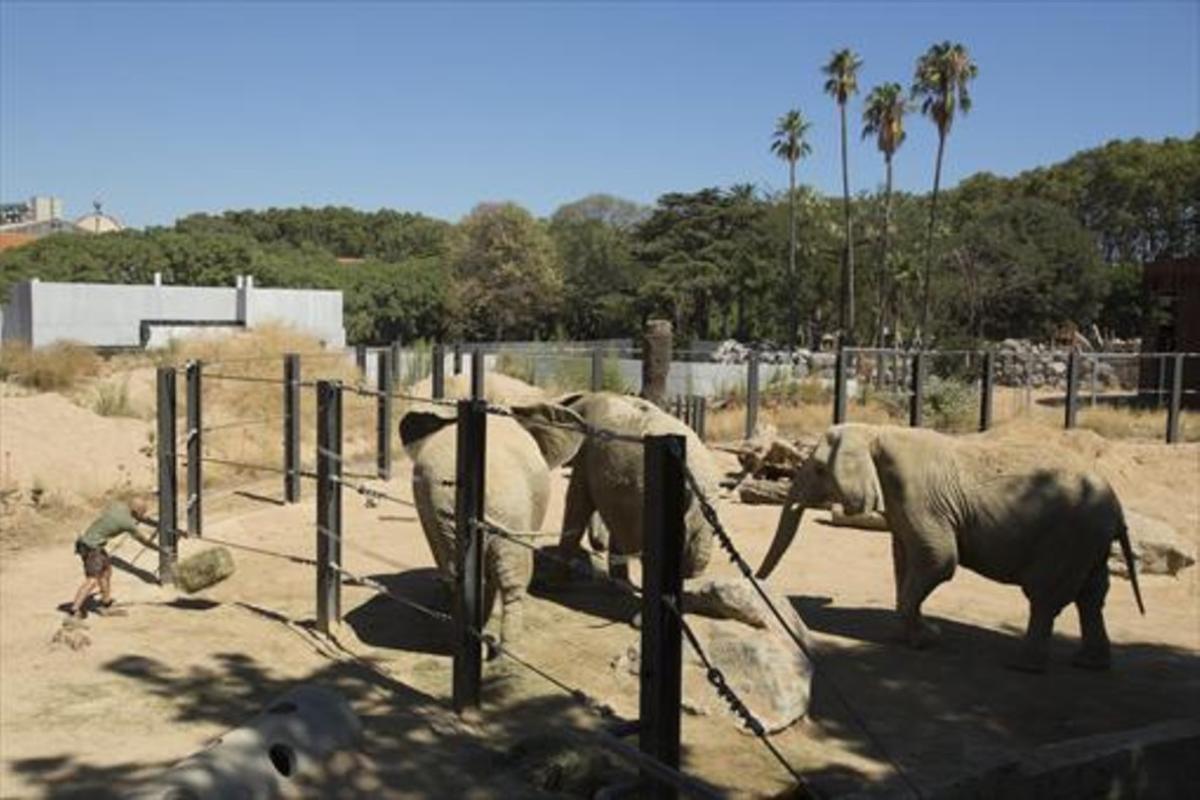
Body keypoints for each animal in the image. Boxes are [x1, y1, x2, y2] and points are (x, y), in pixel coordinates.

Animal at [758, 422, 1142, 671]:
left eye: (819, 469)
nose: (759, 581)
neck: (874, 431)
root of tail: (1117, 506)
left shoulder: (917, 495)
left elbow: (938, 561)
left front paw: (927, 639)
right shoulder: (901, 501)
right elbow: (904, 558)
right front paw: (908, 636)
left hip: (1068, 539)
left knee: (1046, 595)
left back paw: (1022, 665)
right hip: (1089, 543)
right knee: (1092, 595)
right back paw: (1089, 664)